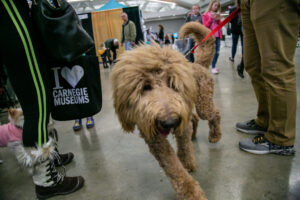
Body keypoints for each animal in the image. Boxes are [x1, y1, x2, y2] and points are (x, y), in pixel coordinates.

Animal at [111, 22, 221, 200]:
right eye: (145, 86)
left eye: (172, 83)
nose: (170, 122)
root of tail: (198, 64)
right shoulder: (154, 137)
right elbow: (172, 166)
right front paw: (189, 190)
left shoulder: (180, 124)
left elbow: (184, 148)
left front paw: (187, 167)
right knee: (193, 119)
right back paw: (194, 134)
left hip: (204, 104)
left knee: (214, 113)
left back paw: (215, 135)